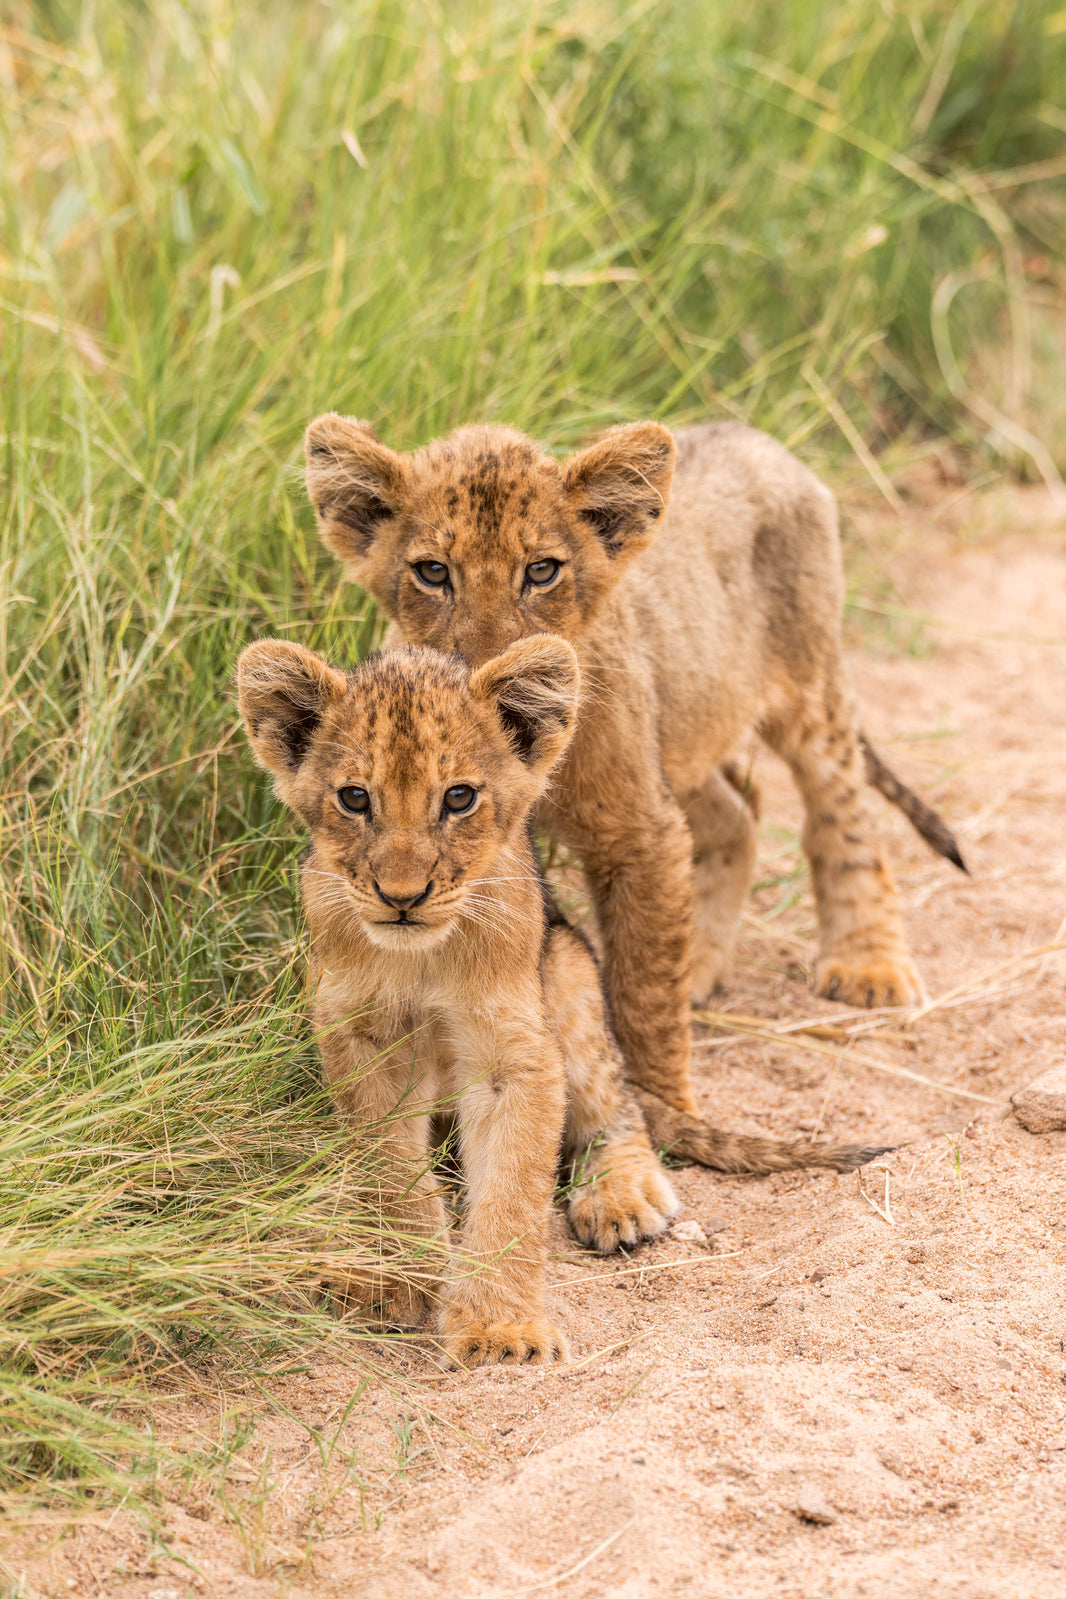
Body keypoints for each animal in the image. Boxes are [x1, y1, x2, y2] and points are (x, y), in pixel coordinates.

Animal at [237, 635, 890, 1366]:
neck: (422, 955)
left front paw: (500, 1332)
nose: (402, 897)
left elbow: (513, 1190)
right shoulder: (358, 1033)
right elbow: (387, 1167)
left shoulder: (516, 1050)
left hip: (570, 969)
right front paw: (392, 1280)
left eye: (459, 797)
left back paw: (621, 1199)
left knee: (622, 1109)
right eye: (355, 797)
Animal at [303, 415, 964, 1118]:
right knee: (739, 813)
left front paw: (661, 1109)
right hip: (676, 741)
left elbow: (643, 994)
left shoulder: (639, 834)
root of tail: (750, 432)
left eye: (541, 571)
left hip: (811, 687)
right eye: (432, 571)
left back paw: (868, 967)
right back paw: (700, 965)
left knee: (841, 815)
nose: (486, 674)